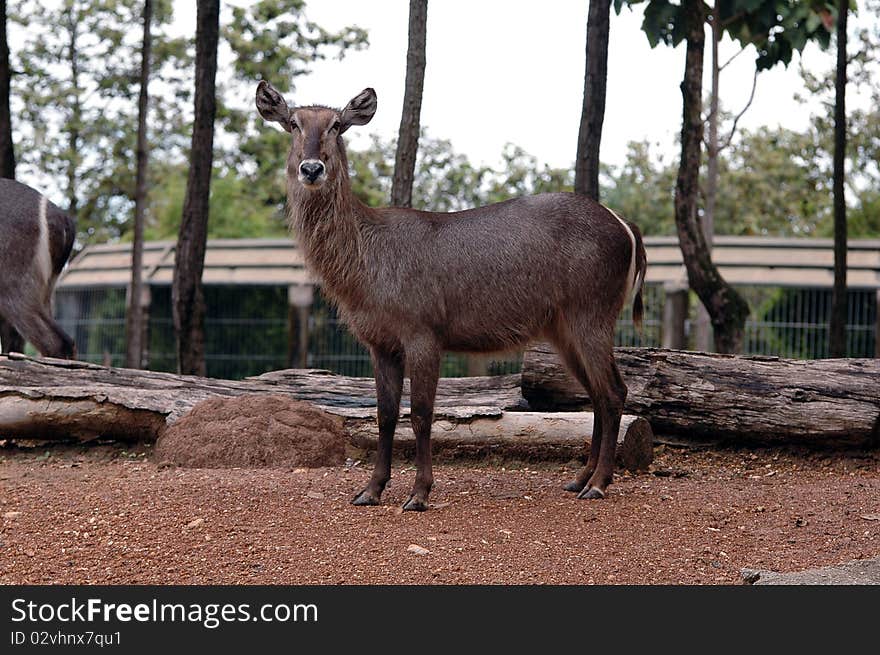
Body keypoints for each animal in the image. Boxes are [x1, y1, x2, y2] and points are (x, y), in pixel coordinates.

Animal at [254, 82, 648, 512]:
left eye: (337, 125)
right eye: (293, 123)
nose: (311, 169)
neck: (363, 272)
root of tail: (628, 228)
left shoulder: (423, 331)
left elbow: (422, 414)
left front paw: (418, 494)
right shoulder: (380, 342)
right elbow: (385, 414)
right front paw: (370, 490)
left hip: (592, 313)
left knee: (614, 391)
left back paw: (599, 483)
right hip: (562, 328)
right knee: (594, 394)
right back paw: (579, 479)